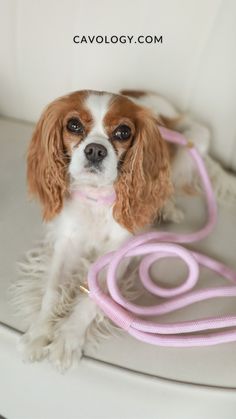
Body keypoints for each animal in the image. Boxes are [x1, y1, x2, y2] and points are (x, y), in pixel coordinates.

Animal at [19, 89, 209, 370]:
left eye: (123, 132)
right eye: (73, 125)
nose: (95, 150)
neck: (97, 200)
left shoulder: (116, 256)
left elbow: (91, 299)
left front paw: (68, 338)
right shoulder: (67, 243)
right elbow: (52, 290)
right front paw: (39, 332)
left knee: (167, 186)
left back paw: (167, 208)